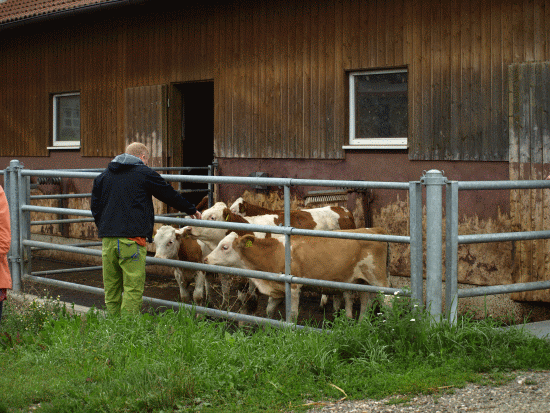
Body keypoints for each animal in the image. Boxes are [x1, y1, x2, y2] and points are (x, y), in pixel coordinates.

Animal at [204, 227, 392, 320]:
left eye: (225, 247)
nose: (205, 259)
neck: (274, 252)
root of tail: (375, 230)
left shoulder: (293, 286)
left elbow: (292, 314)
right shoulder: (277, 288)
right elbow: (269, 311)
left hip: (377, 278)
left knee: (388, 301)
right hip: (362, 281)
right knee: (366, 303)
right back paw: (361, 325)